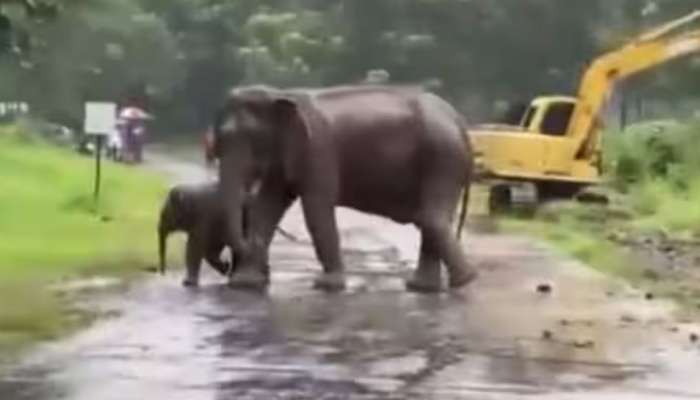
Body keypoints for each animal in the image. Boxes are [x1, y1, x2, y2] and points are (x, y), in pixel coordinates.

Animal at [213, 83, 476, 292]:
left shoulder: (317, 150)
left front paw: (327, 286)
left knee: (430, 218)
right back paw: (423, 287)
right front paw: (245, 283)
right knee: (430, 220)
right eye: (219, 141)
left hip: (442, 157)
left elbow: (316, 210)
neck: (279, 93)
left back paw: (463, 282)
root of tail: (459, 119)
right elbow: (267, 206)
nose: (228, 265)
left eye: (253, 140)